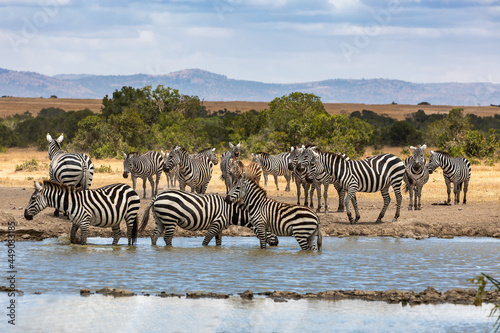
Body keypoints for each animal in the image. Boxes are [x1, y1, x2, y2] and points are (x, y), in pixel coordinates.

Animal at [141, 188, 278, 245]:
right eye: (269, 228)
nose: (277, 242)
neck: (230, 212)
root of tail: (157, 196)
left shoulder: (220, 228)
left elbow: (219, 243)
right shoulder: (215, 224)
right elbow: (205, 241)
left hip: (160, 220)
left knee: (154, 236)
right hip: (170, 219)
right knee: (167, 238)